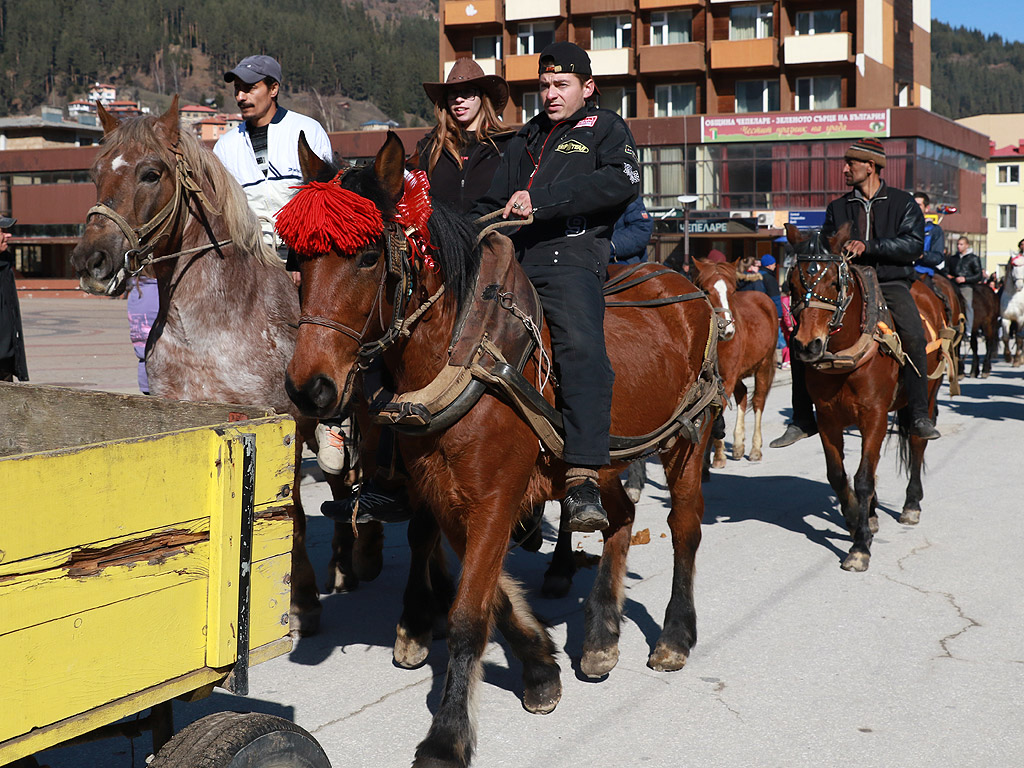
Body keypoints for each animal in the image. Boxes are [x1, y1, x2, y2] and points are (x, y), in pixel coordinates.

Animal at [70, 97, 385, 638]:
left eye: (151, 173)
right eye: (94, 173)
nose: (92, 259)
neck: (213, 321)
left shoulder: (286, 423)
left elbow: (292, 513)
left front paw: (301, 602)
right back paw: (343, 567)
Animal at [284, 134, 720, 768]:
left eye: (366, 257)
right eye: (295, 260)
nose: (307, 387)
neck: (462, 354)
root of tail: (683, 282)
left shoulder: (494, 497)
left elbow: (470, 612)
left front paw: (447, 736)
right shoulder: (446, 495)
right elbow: (493, 597)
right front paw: (540, 669)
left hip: (688, 438)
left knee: (684, 527)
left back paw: (674, 635)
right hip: (601, 459)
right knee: (618, 517)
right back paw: (602, 633)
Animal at [696, 259, 774, 466]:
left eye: (732, 291)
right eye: (706, 290)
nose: (727, 330)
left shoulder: (728, 378)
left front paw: (718, 455)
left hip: (764, 365)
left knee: (758, 401)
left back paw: (755, 449)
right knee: (743, 394)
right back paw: (738, 445)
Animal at [786, 222, 954, 573]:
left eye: (834, 282)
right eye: (792, 283)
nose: (807, 345)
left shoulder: (874, 415)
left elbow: (863, 478)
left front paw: (860, 547)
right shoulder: (828, 418)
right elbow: (838, 476)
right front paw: (855, 519)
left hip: (928, 395)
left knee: (917, 442)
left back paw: (911, 504)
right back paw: (873, 514)